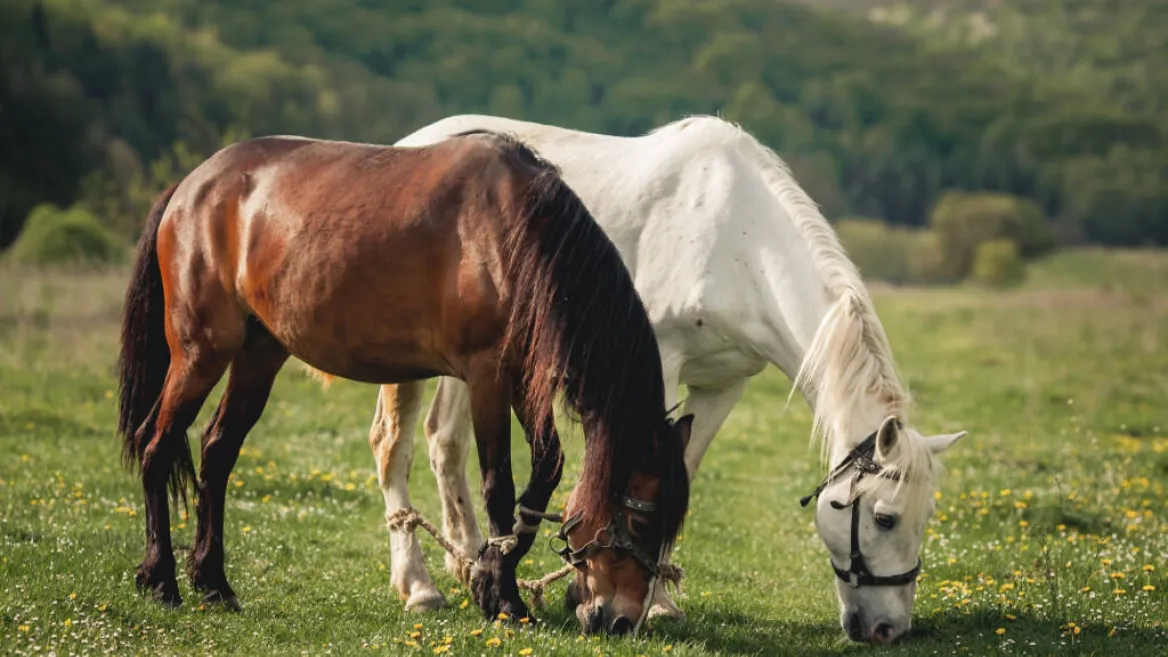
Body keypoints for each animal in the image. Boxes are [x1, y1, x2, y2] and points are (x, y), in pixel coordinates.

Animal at [115, 130, 692, 635]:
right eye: (642, 522)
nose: (621, 620)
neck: (516, 234)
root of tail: (191, 186)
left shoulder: (524, 380)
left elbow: (545, 471)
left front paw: (489, 576)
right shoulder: (487, 376)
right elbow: (499, 486)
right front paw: (504, 598)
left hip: (259, 356)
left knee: (216, 453)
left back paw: (213, 583)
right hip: (200, 354)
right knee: (157, 446)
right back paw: (162, 579)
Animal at [363, 115, 968, 644]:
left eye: (926, 517)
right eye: (884, 518)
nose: (888, 629)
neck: (739, 242)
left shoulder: (725, 384)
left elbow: (684, 472)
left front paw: (658, 597)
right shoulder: (658, 369)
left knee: (445, 442)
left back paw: (469, 561)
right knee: (394, 446)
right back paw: (419, 586)